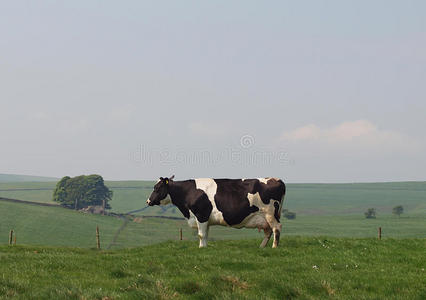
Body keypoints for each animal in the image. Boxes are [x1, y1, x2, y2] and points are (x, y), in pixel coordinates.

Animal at [146, 176, 286, 248]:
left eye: (157, 188)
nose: (148, 201)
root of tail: (276, 179)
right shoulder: (205, 219)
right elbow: (205, 234)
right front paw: (204, 247)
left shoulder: (201, 215)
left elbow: (201, 234)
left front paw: (201, 248)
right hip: (265, 217)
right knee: (268, 231)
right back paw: (262, 247)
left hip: (270, 214)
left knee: (276, 228)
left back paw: (274, 247)